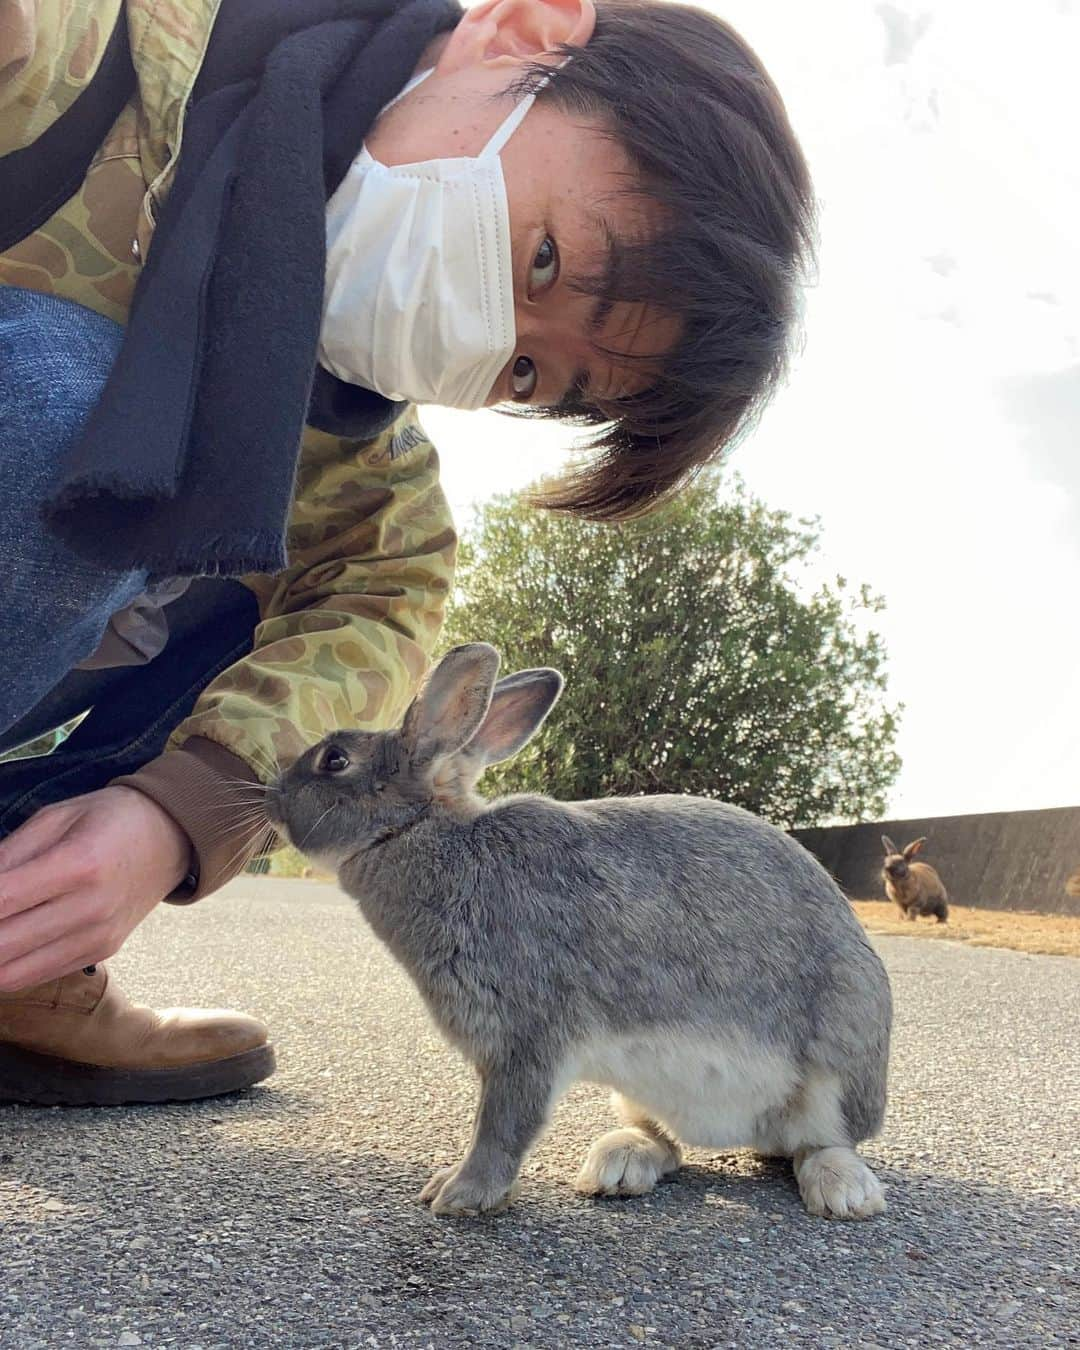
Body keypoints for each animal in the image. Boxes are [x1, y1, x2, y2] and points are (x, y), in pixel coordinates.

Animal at [272, 642, 896, 1225]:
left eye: (335, 759)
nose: (273, 795)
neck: (418, 832)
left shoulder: (524, 1038)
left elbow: (503, 1126)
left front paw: (459, 1194)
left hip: (834, 1068)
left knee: (819, 1142)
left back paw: (843, 1189)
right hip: (640, 1091)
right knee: (668, 1145)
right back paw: (620, 1163)